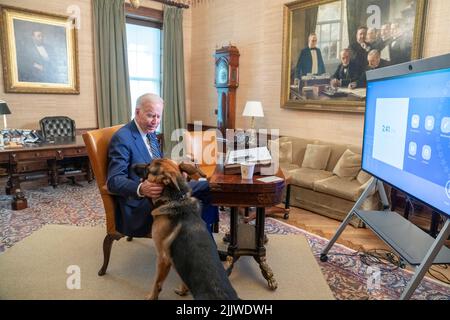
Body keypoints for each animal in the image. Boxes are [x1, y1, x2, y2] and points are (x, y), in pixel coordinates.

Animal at [134, 159, 239, 300]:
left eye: (148, 168)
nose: (132, 166)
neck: (176, 198)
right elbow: (183, 277)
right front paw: (183, 290)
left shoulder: (163, 258)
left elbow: (157, 283)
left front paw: (152, 297)